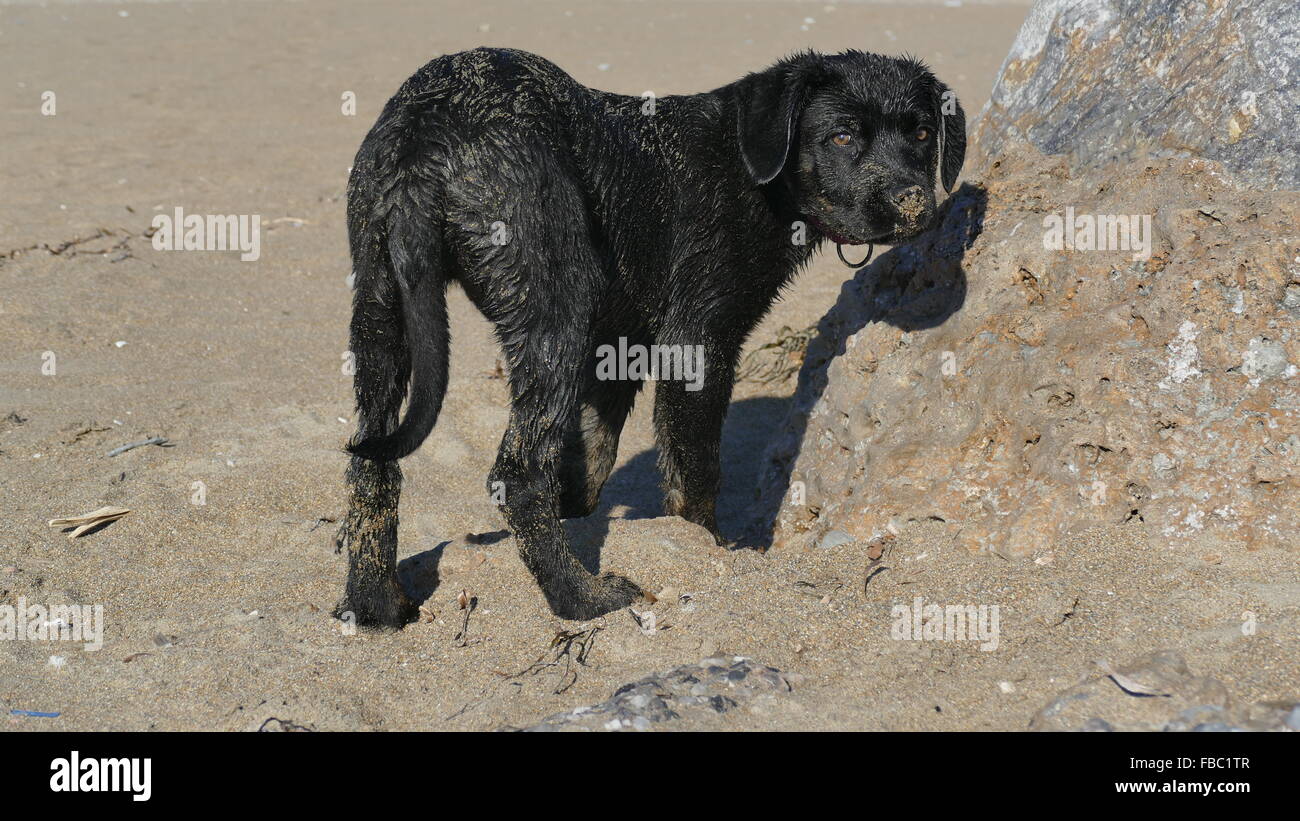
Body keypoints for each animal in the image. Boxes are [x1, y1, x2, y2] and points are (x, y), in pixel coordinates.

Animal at [335, 48, 967, 626]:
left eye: (921, 132)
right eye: (840, 136)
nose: (914, 204)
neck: (753, 170)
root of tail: (428, 127)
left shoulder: (616, 348)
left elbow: (589, 461)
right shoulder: (698, 340)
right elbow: (695, 472)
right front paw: (704, 552)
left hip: (380, 307)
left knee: (371, 464)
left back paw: (374, 602)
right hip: (553, 306)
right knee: (518, 475)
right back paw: (582, 599)